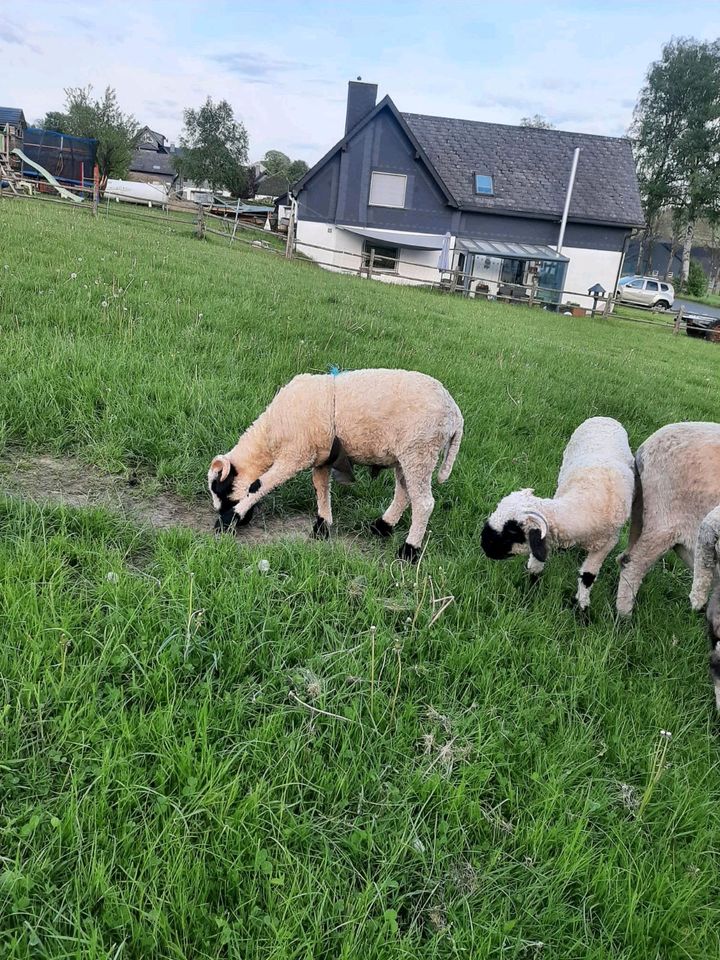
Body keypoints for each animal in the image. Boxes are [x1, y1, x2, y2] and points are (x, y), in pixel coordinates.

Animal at [205, 368, 464, 564]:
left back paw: (409, 550)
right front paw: (322, 526)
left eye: (219, 489)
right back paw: (382, 526)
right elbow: (321, 488)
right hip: (407, 456)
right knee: (404, 492)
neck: (270, 434)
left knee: (423, 503)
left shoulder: (295, 454)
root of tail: (455, 415)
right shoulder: (320, 457)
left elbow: (258, 485)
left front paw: (228, 521)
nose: (221, 512)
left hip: (420, 451)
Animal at [480, 416, 632, 612]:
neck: (587, 503)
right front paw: (530, 593)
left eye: (511, 533)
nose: (484, 546)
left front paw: (582, 608)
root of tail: (605, 417)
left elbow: (588, 576)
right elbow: (536, 566)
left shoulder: (608, 543)